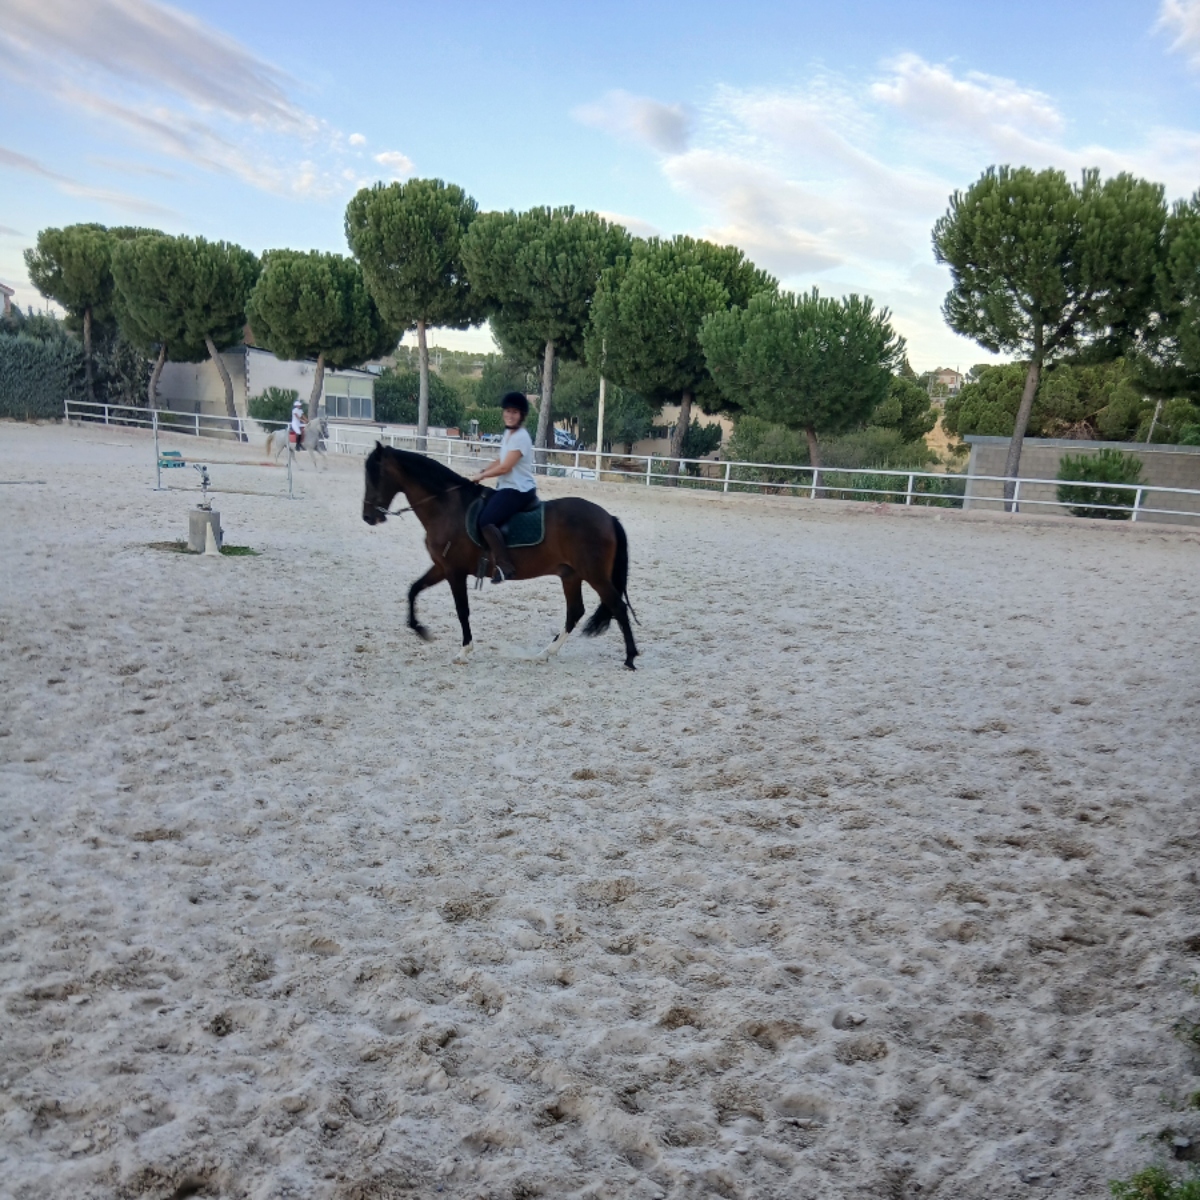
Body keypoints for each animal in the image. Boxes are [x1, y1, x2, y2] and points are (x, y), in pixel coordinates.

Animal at [361, 443, 639, 669]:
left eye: (375, 476)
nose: (368, 517)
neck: (447, 507)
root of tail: (608, 518)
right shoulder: (441, 567)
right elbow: (413, 589)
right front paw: (420, 630)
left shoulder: (454, 572)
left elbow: (462, 609)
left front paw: (464, 651)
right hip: (570, 575)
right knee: (575, 611)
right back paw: (545, 653)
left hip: (594, 575)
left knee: (617, 606)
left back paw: (630, 658)